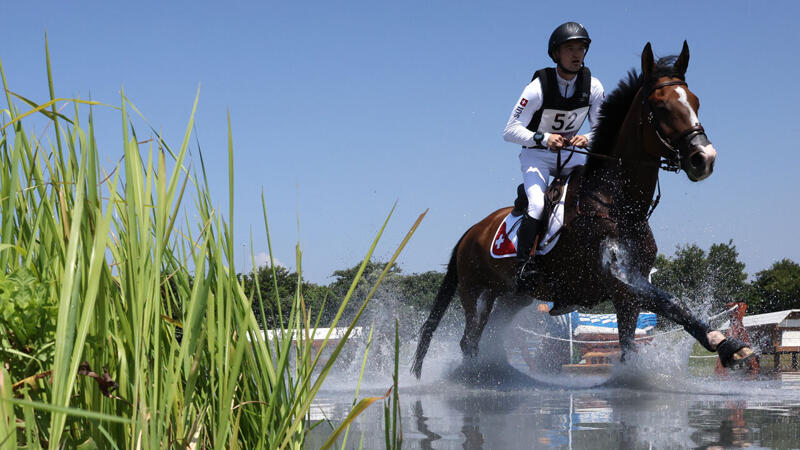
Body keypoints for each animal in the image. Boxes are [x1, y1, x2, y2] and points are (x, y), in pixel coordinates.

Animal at [412, 42, 756, 380]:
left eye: (696, 102)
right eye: (661, 106)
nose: (704, 158)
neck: (618, 205)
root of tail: (472, 231)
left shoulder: (626, 295)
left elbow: (631, 343)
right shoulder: (622, 279)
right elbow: (671, 301)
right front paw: (729, 347)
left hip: (513, 297)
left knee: (489, 336)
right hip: (477, 292)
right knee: (470, 339)